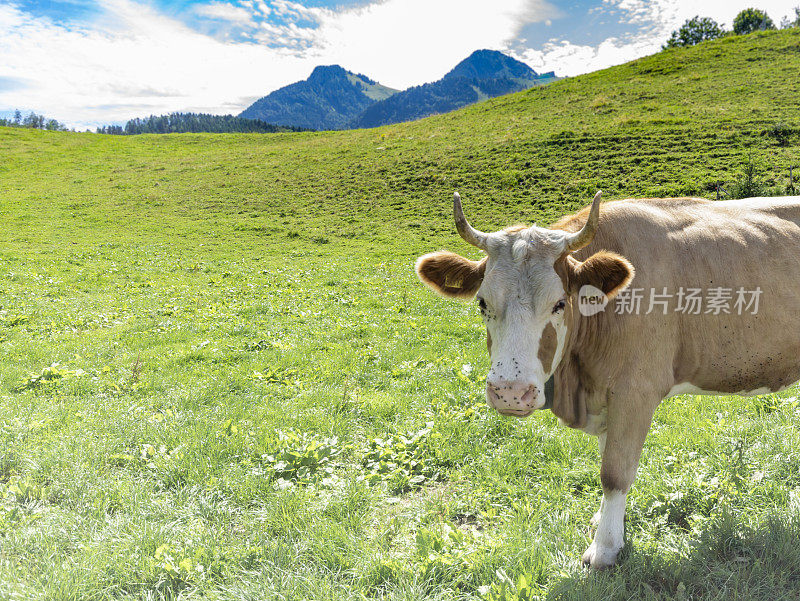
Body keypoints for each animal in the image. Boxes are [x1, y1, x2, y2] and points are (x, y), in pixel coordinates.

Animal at [416, 191, 800, 568]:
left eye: (559, 303)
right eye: (482, 303)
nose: (510, 392)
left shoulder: (635, 391)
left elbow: (614, 472)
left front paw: (605, 548)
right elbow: (608, 459)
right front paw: (607, 522)